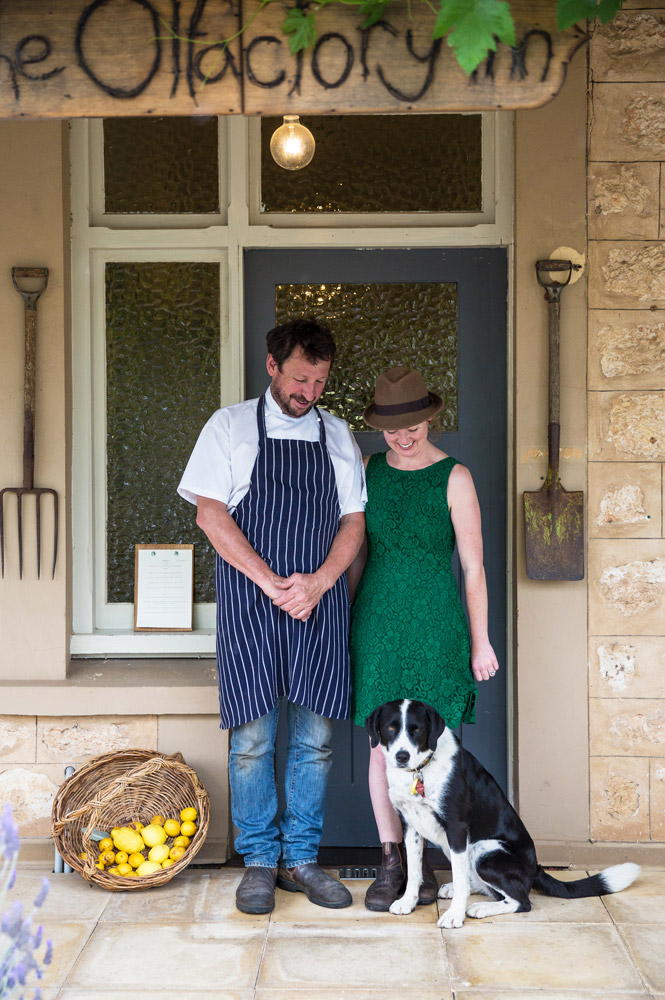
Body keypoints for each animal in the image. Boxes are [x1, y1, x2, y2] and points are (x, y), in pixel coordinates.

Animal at [366, 704, 640, 928]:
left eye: (417, 730)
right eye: (390, 728)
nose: (402, 757)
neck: (421, 770)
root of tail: (535, 868)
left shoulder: (456, 827)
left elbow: (459, 876)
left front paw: (454, 915)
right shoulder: (410, 825)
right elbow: (414, 871)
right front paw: (407, 902)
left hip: (485, 850)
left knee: (520, 900)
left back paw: (479, 907)